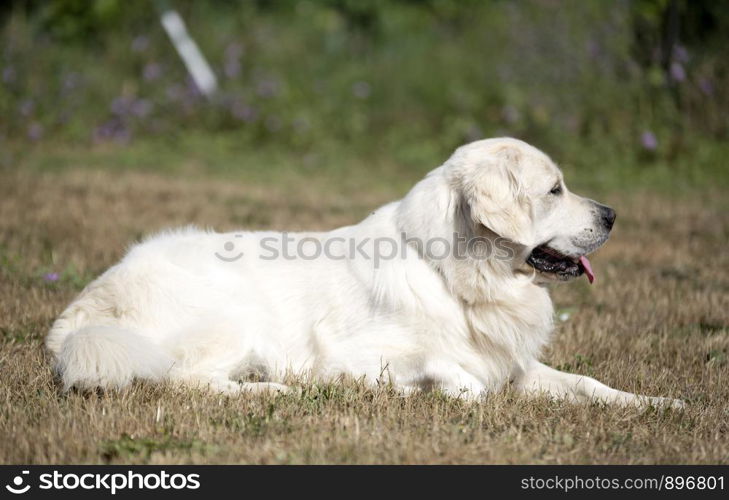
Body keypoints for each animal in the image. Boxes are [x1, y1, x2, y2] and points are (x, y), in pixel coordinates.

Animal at [48, 137, 680, 406]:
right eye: (554, 190)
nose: (612, 215)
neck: (451, 272)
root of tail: (82, 311)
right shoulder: (348, 353)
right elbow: (454, 374)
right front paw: (442, 392)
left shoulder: (513, 363)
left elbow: (589, 384)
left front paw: (660, 406)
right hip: (233, 319)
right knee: (181, 380)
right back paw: (270, 388)